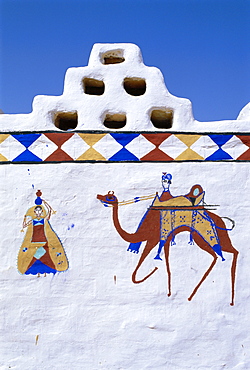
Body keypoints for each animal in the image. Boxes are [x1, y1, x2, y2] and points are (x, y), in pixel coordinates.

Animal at [96, 178, 239, 304]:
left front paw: (162, 283)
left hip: (205, 237)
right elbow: (159, 261)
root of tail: (220, 220)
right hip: (210, 238)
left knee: (223, 254)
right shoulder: (160, 240)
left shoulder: (154, 239)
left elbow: (147, 265)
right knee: (225, 254)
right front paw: (168, 289)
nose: (98, 195)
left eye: (110, 197)